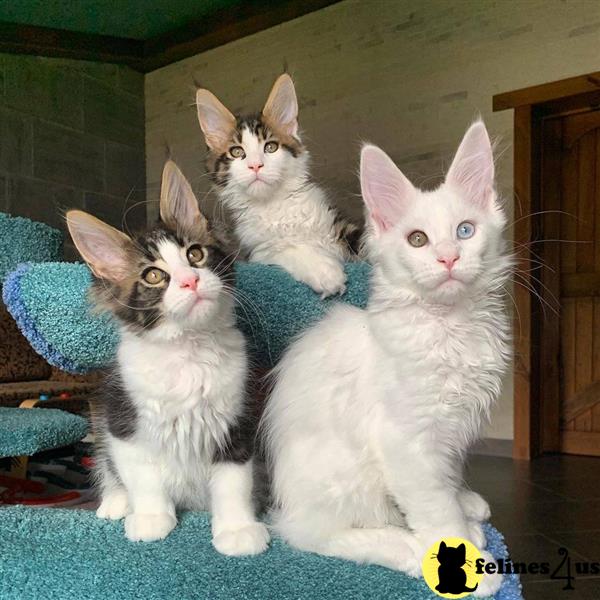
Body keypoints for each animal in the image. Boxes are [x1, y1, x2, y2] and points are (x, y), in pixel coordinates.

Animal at [66, 161, 270, 556]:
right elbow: (143, 478)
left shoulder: (238, 422)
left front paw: (237, 529)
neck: (188, 349)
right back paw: (115, 502)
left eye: (195, 255)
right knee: (108, 468)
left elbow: (233, 483)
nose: (191, 281)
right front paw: (150, 519)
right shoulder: (123, 422)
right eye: (154, 275)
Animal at [196, 74, 360, 298]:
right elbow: (288, 250)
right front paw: (325, 272)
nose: (256, 165)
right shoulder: (257, 253)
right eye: (237, 152)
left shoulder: (340, 227)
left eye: (270, 147)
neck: (274, 205)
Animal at [264, 120, 512, 596]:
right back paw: (410, 549)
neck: (448, 327)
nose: (448, 258)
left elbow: (447, 480)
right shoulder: (405, 442)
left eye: (465, 231)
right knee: (312, 533)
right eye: (417, 240)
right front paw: (467, 560)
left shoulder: (451, 430)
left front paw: (462, 506)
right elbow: (435, 507)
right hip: (342, 473)